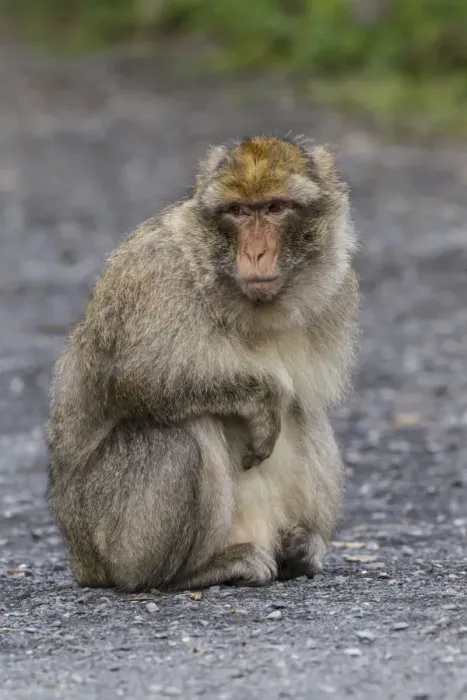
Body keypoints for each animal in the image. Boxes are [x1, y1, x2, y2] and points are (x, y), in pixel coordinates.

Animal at [46, 135, 360, 592]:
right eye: (238, 212)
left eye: (275, 208)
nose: (257, 252)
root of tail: (83, 562)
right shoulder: (153, 277)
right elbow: (138, 378)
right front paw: (262, 398)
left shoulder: (338, 289)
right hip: (109, 537)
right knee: (181, 432)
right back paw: (194, 572)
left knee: (308, 415)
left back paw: (300, 549)